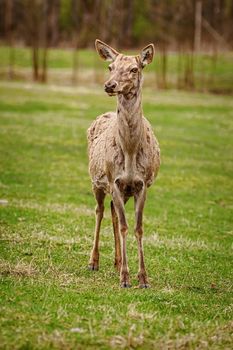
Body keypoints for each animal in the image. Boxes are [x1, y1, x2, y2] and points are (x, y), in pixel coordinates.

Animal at [87, 39, 160, 288]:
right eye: (110, 67)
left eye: (134, 69)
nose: (110, 85)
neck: (129, 153)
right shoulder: (114, 180)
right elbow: (124, 226)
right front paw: (126, 279)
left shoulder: (142, 184)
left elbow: (137, 228)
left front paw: (143, 278)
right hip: (97, 183)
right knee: (100, 210)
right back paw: (94, 262)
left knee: (112, 212)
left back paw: (117, 262)